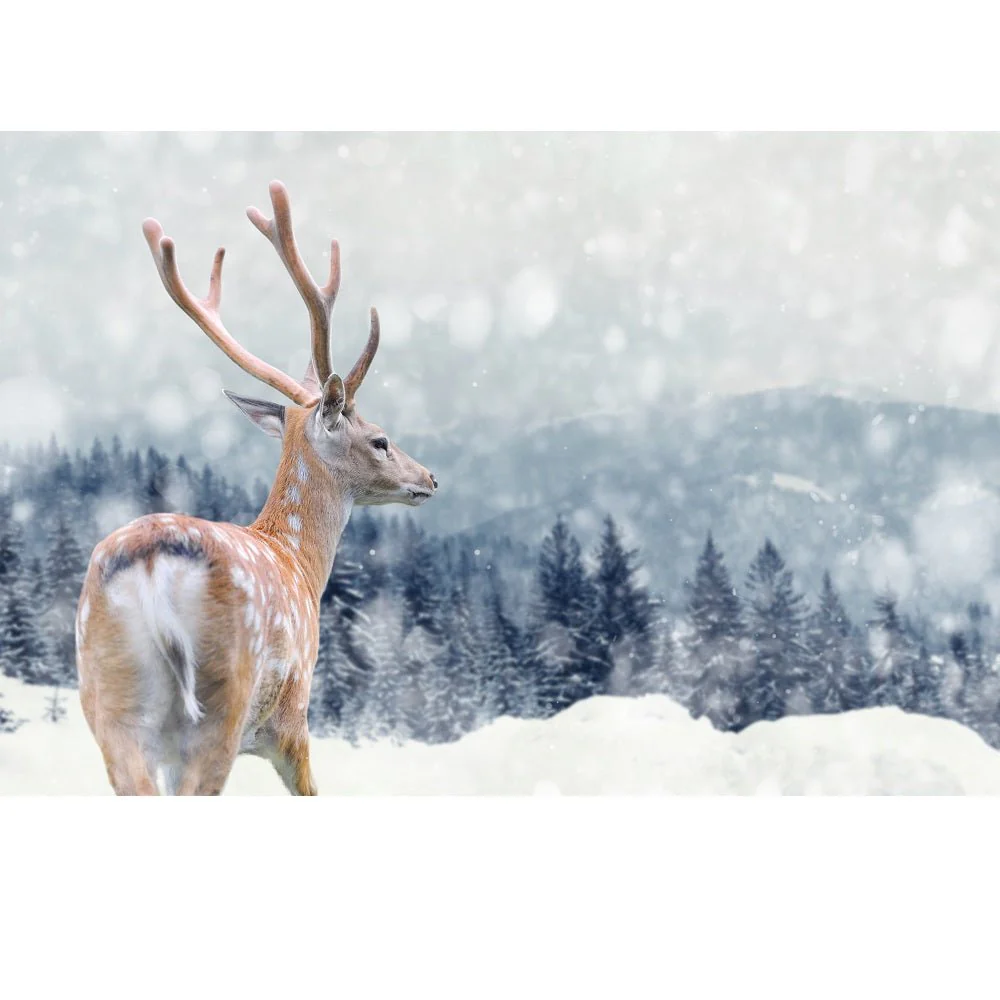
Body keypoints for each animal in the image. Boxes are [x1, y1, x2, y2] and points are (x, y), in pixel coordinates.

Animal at [74, 180, 438, 796]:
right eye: (381, 440)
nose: (430, 478)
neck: (299, 562)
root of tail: (150, 566)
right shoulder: (292, 719)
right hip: (224, 700)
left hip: (108, 702)